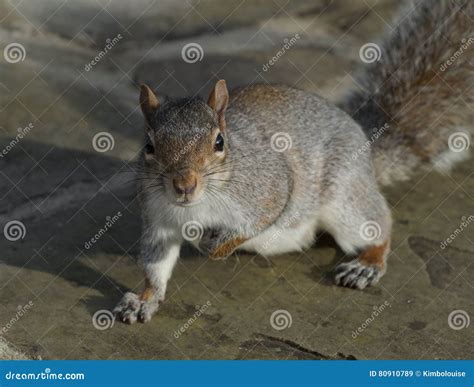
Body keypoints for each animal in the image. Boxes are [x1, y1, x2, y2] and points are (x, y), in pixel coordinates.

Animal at [113, 0, 472, 324]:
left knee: (378, 224)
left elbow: (257, 221)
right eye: (149, 146)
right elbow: (155, 265)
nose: (184, 184)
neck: (197, 207)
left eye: (219, 142)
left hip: (343, 198)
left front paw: (216, 246)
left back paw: (367, 263)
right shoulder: (158, 221)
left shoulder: (268, 190)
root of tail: (366, 152)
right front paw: (144, 299)